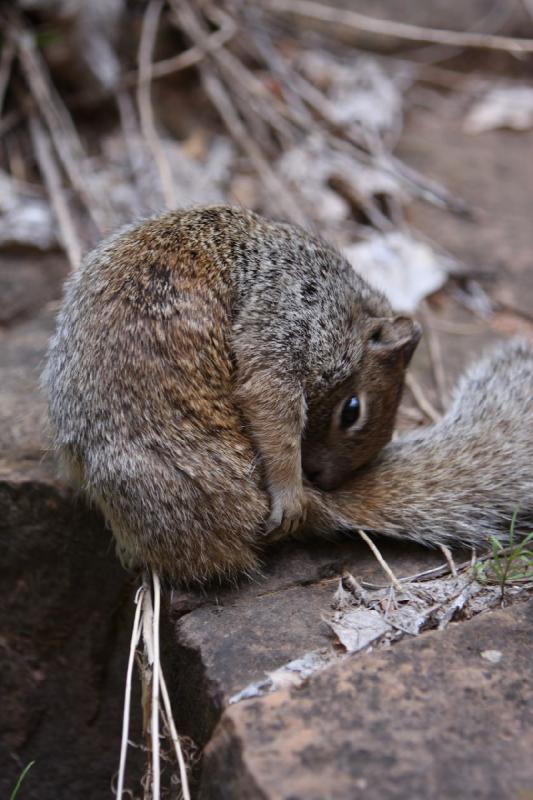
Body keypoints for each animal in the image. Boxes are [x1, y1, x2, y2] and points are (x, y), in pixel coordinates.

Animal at [44, 206, 420, 580]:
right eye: (352, 410)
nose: (322, 478)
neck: (352, 309)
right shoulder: (292, 326)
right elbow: (275, 416)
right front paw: (290, 495)